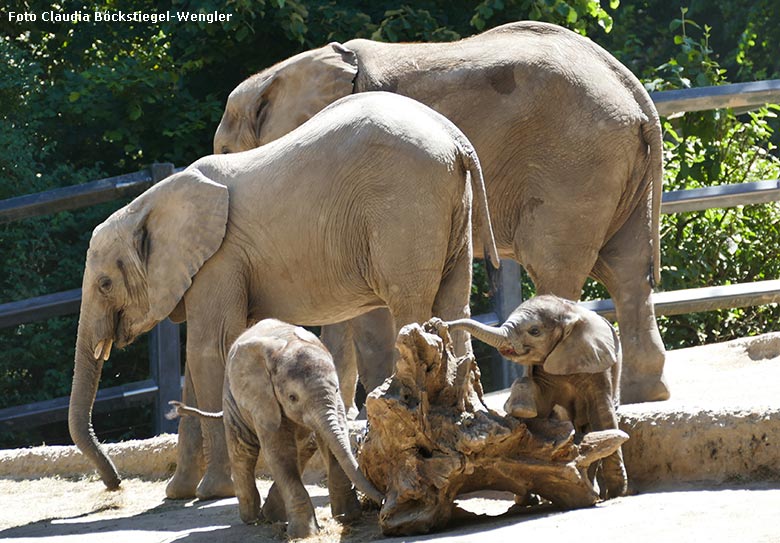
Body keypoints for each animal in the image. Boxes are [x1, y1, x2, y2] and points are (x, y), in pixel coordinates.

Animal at [68, 91, 500, 500]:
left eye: (105, 284)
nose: (115, 484)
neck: (145, 205)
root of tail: (456, 139)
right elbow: (196, 364)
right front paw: (178, 494)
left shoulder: (219, 259)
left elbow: (208, 351)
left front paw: (212, 492)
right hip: (451, 209)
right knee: (454, 302)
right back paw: (468, 424)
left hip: (406, 205)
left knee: (410, 305)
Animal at [169, 318, 382, 540]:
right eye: (292, 397)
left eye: (337, 388)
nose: (382, 500)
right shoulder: (263, 399)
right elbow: (280, 454)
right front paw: (303, 534)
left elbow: (330, 443)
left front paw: (347, 518)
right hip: (232, 398)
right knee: (243, 450)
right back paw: (251, 517)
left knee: (304, 446)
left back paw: (269, 515)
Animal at [213, 18, 672, 416]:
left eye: (225, 151)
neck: (286, 71)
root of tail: (635, 92)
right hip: (616, 167)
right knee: (627, 269)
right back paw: (645, 395)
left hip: (575, 165)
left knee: (557, 265)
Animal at [432, 296, 628, 500]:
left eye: (534, 331)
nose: (439, 323)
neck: (568, 312)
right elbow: (538, 401)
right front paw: (520, 410)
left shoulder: (596, 364)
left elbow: (602, 415)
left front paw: (617, 493)